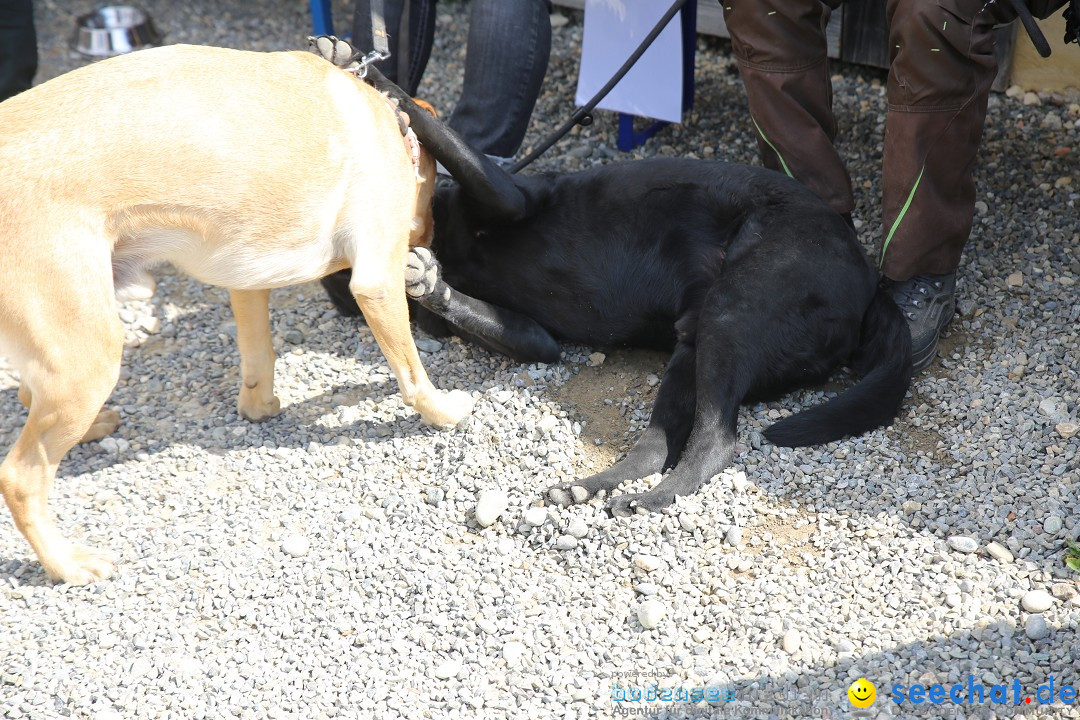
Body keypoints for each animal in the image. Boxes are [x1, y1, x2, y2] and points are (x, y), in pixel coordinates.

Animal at [0, 43, 473, 587]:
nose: (430, 248)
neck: (390, 122)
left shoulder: (247, 279)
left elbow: (258, 358)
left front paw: (260, 407)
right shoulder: (375, 280)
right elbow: (412, 376)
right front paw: (446, 411)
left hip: (67, 348)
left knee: (28, 396)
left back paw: (94, 427)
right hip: (90, 355)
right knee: (20, 477)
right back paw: (67, 564)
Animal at [319, 73, 911, 515]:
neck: (445, 239)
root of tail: (869, 276)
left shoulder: (507, 195)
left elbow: (443, 135)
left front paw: (376, 80)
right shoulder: (535, 337)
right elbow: (481, 312)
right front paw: (426, 283)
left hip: (732, 312)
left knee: (716, 440)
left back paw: (657, 496)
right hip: (693, 342)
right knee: (661, 444)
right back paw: (596, 486)